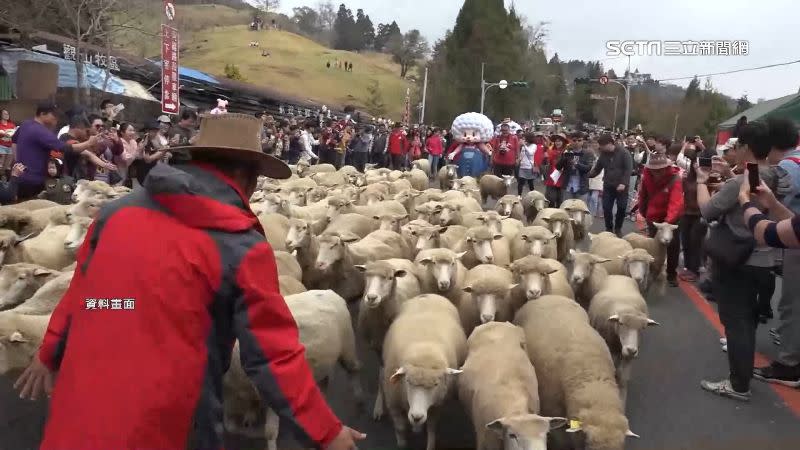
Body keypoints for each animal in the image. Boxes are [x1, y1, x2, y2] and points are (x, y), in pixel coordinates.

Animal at [382, 294, 468, 450]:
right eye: (407, 381)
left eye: (436, 384)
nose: (417, 417)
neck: (424, 352)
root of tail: (430, 294)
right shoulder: (393, 402)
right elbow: (400, 428)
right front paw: (402, 443)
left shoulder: (437, 405)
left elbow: (431, 429)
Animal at [588, 274, 656, 408]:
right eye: (620, 323)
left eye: (643, 328)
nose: (631, 350)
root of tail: (619, 275)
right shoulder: (610, 348)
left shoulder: (628, 356)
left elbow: (623, 377)